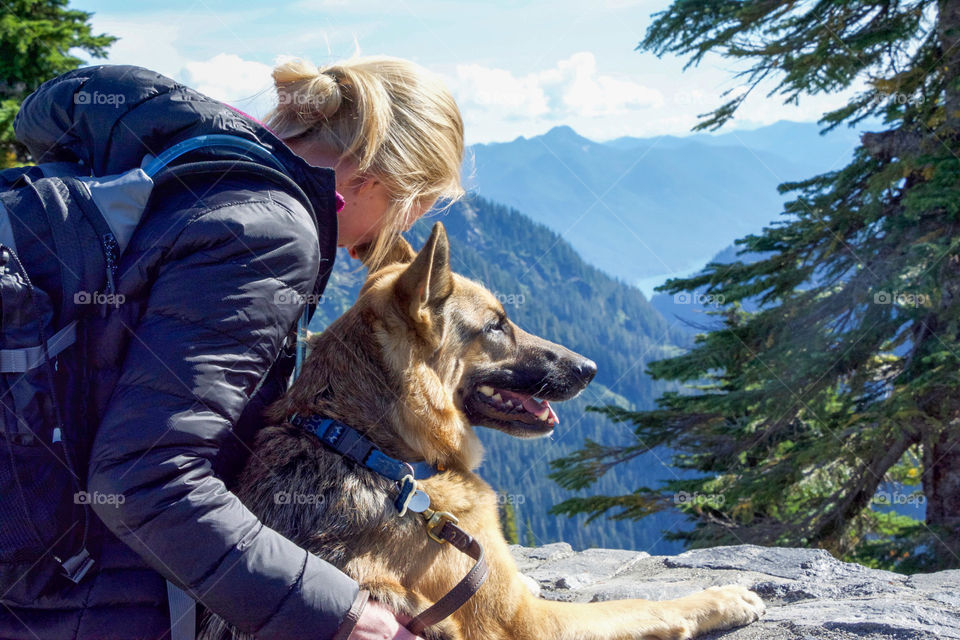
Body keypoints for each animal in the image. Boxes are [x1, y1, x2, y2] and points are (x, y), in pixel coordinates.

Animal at [199, 222, 760, 636]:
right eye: (496, 326)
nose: (591, 368)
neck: (379, 453)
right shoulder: (534, 626)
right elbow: (641, 606)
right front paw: (721, 599)